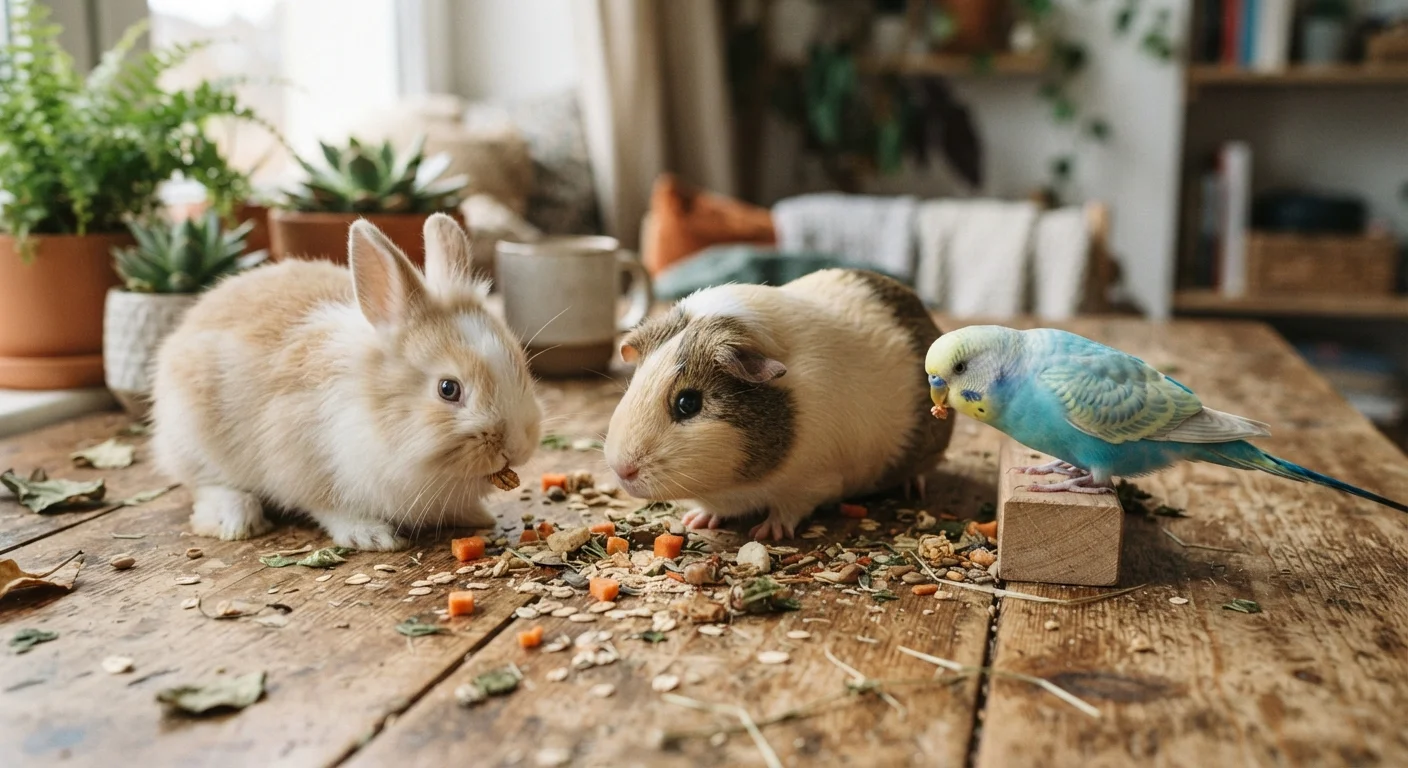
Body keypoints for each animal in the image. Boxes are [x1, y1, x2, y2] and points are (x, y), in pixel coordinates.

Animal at [150, 214, 542, 551]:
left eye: (520, 364)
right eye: (448, 389)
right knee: (204, 483)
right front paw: (371, 537)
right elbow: (329, 508)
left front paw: (477, 515)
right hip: (192, 438)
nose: (518, 447)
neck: (374, 412)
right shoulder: (303, 466)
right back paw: (236, 518)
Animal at [603, 268, 953, 541]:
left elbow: (790, 508)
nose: (622, 470)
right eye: (635, 382)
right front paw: (697, 520)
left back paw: (913, 487)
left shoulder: (813, 482)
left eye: (688, 403)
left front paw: (766, 532)